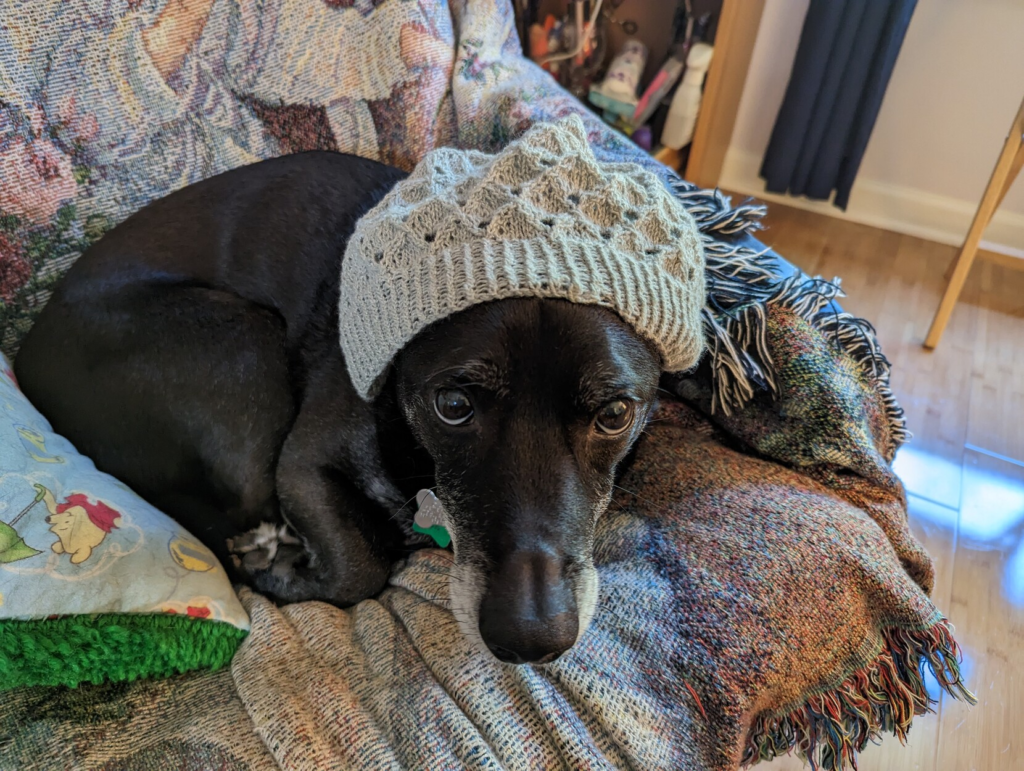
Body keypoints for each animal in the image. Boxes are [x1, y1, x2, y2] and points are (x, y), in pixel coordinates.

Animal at [16, 151, 663, 663]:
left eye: (614, 416)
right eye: (453, 404)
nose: (530, 639)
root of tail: (25, 357)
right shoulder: (301, 465)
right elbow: (360, 569)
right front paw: (285, 576)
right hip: (245, 344)